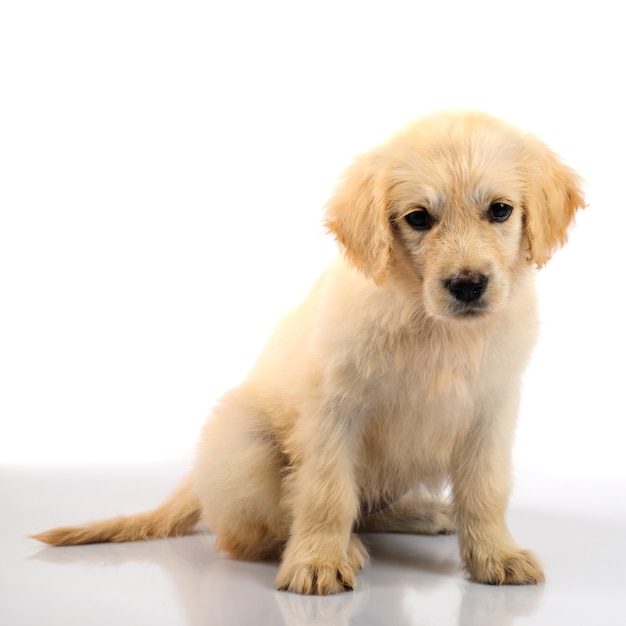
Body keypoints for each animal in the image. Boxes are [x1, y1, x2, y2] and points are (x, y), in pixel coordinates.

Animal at [33, 111, 580, 596]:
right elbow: (326, 494)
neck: (432, 324)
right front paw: (317, 562)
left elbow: (485, 491)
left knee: (370, 505)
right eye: (418, 219)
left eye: (500, 210)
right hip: (243, 439)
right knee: (252, 533)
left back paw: (422, 511)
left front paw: (496, 555)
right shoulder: (333, 412)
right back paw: (341, 547)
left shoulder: (491, 411)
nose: (468, 286)